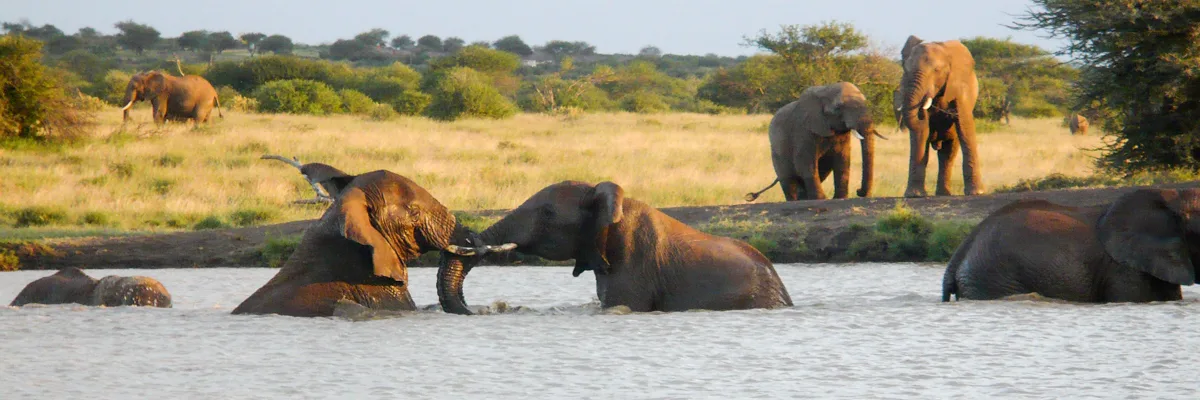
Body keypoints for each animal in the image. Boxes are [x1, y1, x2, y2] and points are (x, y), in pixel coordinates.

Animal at [745, 82, 886, 202]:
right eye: (838, 107)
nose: (859, 191)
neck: (826, 89)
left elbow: (842, 160)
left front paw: (840, 198)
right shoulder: (803, 130)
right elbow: (805, 161)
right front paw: (822, 199)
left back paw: (804, 199)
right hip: (776, 152)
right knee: (787, 178)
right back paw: (796, 201)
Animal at [897, 35, 985, 197]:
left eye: (937, 70)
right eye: (906, 69)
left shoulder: (961, 88)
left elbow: (964, 125)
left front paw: (977, 192)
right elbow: (921, 134)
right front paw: (914, 195)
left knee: (948, 154)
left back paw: (944, 194)